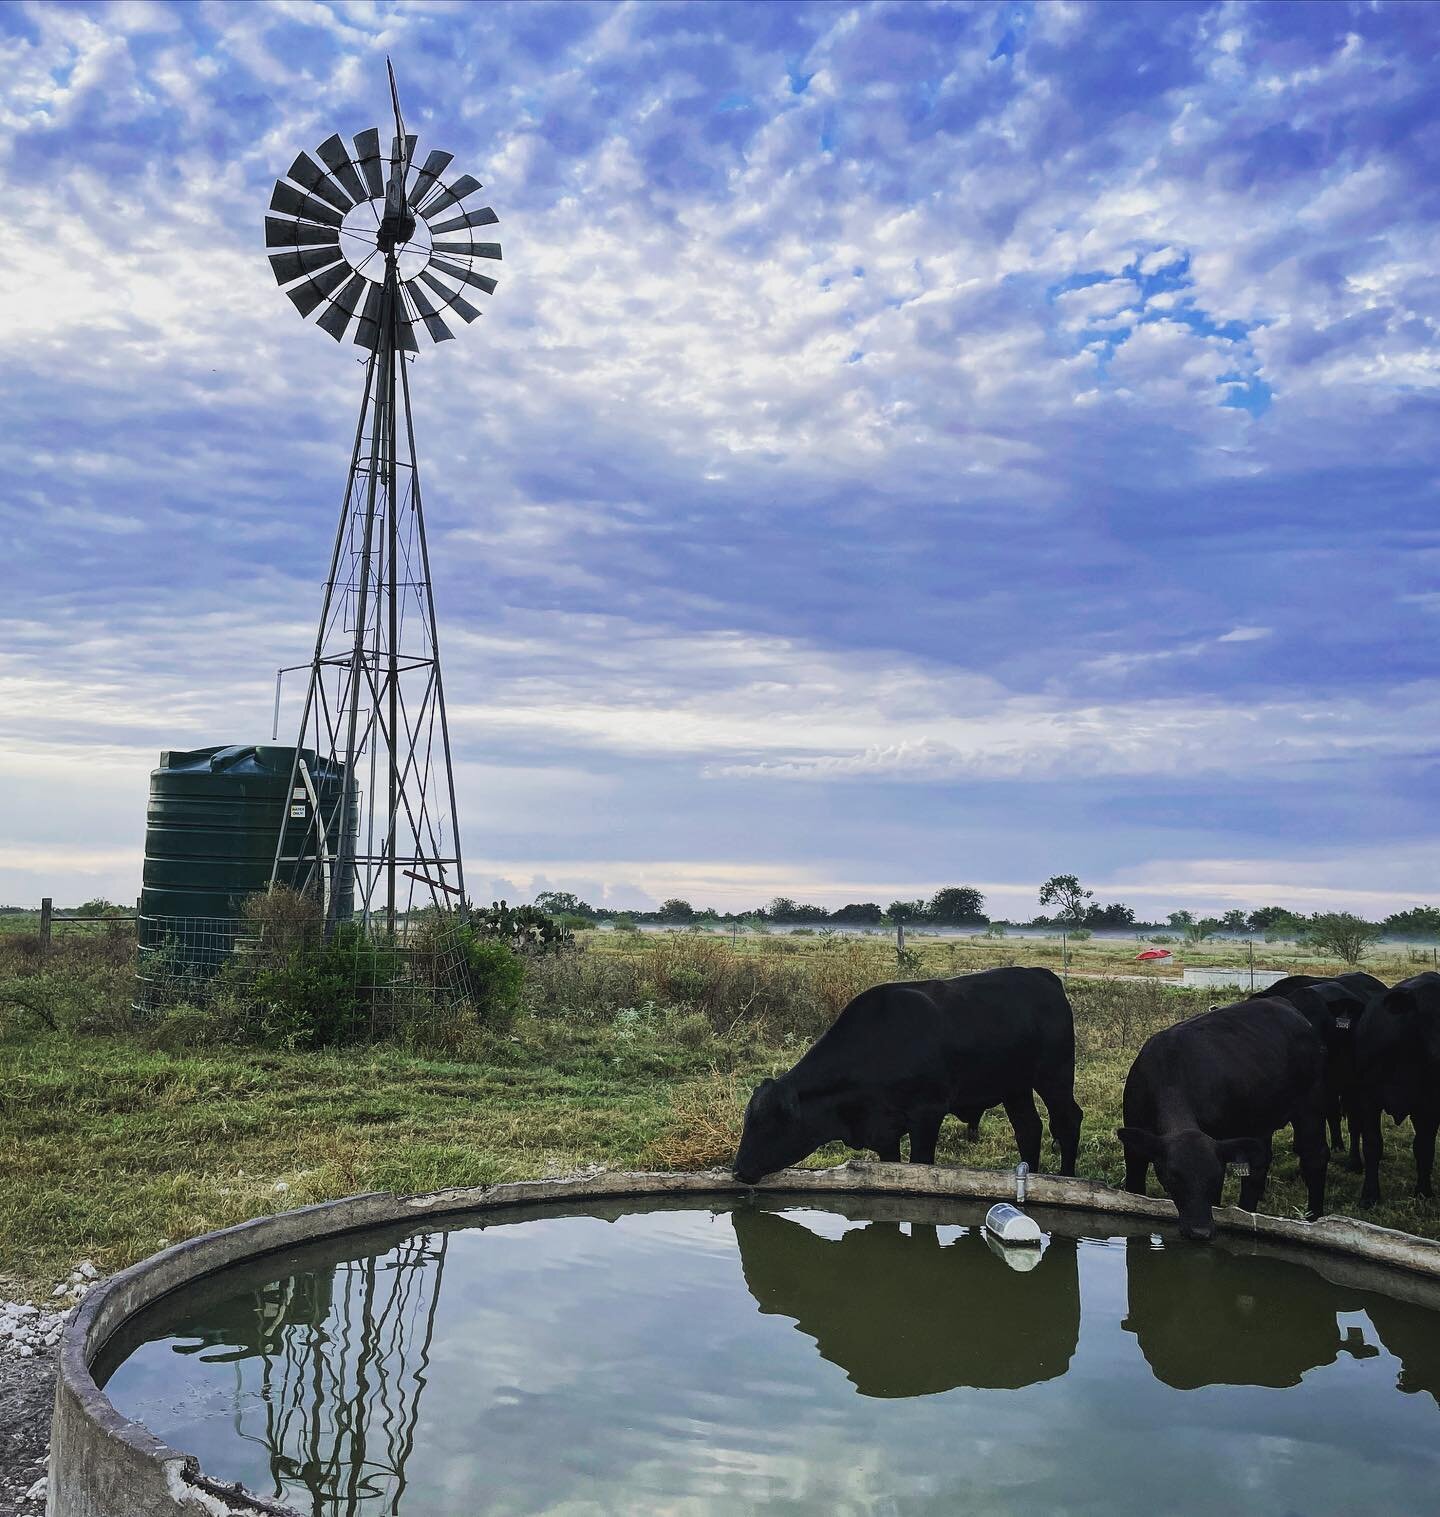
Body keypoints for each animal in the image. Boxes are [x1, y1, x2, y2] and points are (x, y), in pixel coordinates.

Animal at [731, 970, 1080, 1183]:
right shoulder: (884, 1133)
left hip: (1055, 1077)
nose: (738, 1171)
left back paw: (1068, 1177)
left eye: (770, 1124)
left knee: (1067, 1121)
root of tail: (1044, 976)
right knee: (1029, 1129)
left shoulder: (927, 1116)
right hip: (1015, 1088)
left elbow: (920, 1165)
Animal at [1116, 1001, 1329, 1237]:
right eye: (1173, 1176)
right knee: (1258, 1165)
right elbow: (1134, 1190)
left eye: (1215, 1178)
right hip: (1259, 1120)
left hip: (1311, 1104)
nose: (1199, 1231)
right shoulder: (1134, 1146)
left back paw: (1314, 1218)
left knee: (1314, 1156)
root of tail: (1293, 1012)